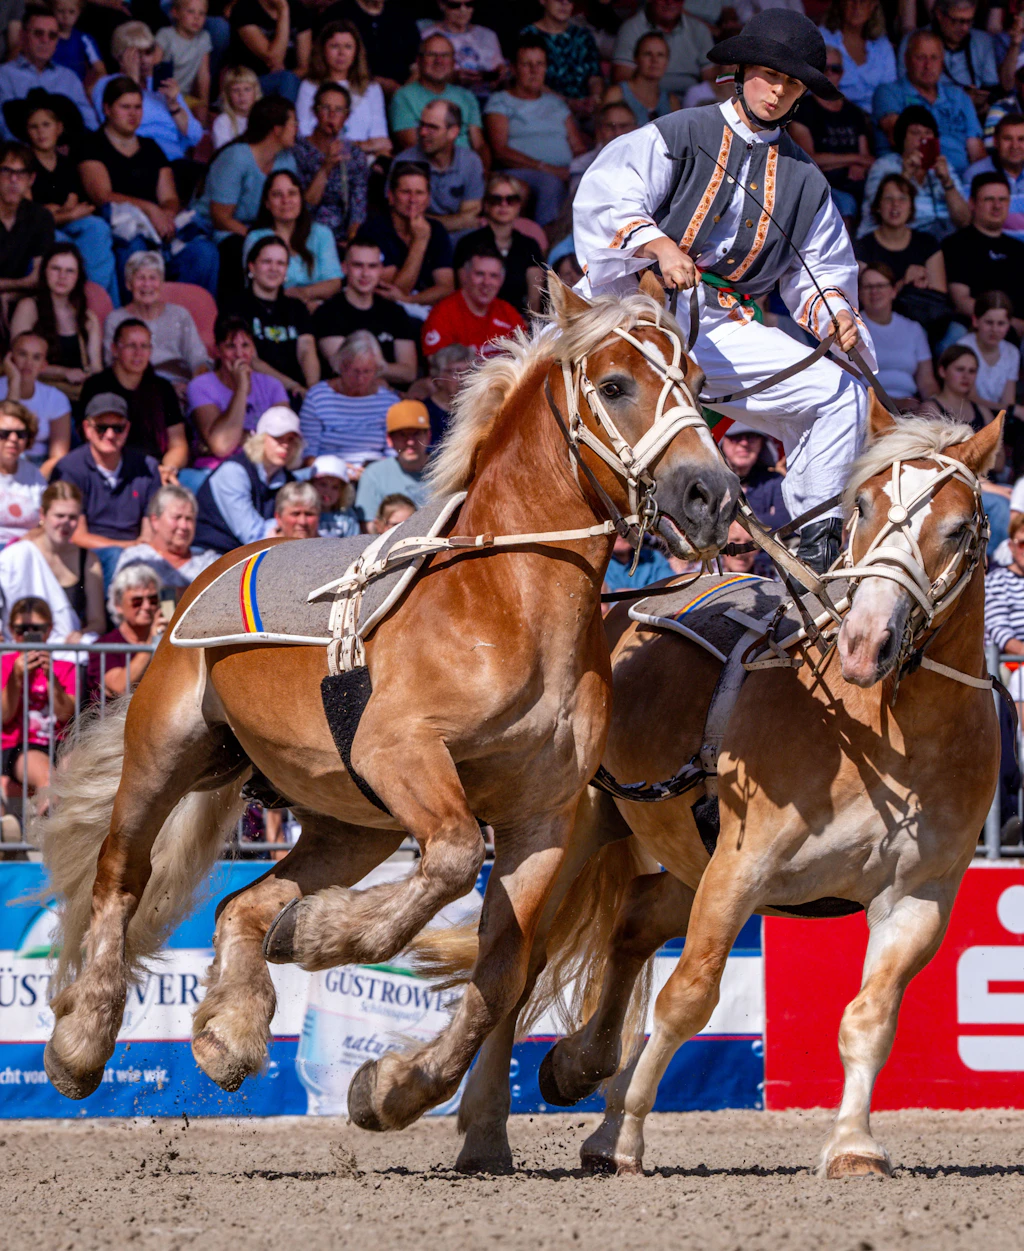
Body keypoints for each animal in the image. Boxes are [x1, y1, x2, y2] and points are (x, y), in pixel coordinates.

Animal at [37, 274, 738, 1136]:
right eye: (614, 385)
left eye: (699, 385)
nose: (712, 494)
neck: (505, 602)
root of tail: (213, 567)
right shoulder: (401, 753)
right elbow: (453, 857)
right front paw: (327, 933)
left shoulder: (541, 816)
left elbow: (501, 972)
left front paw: (393, 1086)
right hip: (168, 751)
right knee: (119, 877)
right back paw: (81, 1042)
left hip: (349, 820)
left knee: (244, 902)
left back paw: (231, 1027)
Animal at [411, 404, 1001, 1175]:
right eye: (863, 507)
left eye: (958, 528)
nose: (865, 641)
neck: (882, 733)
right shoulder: (740, 871)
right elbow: (687, 998)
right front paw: (620, 1136)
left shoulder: (919, 899)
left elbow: (869, 1020)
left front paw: (852, 1145)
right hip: (576, 832)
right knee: (523, 957)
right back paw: (487, 1126)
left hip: (683, 854)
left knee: (632, 918)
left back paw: (579, 1064)